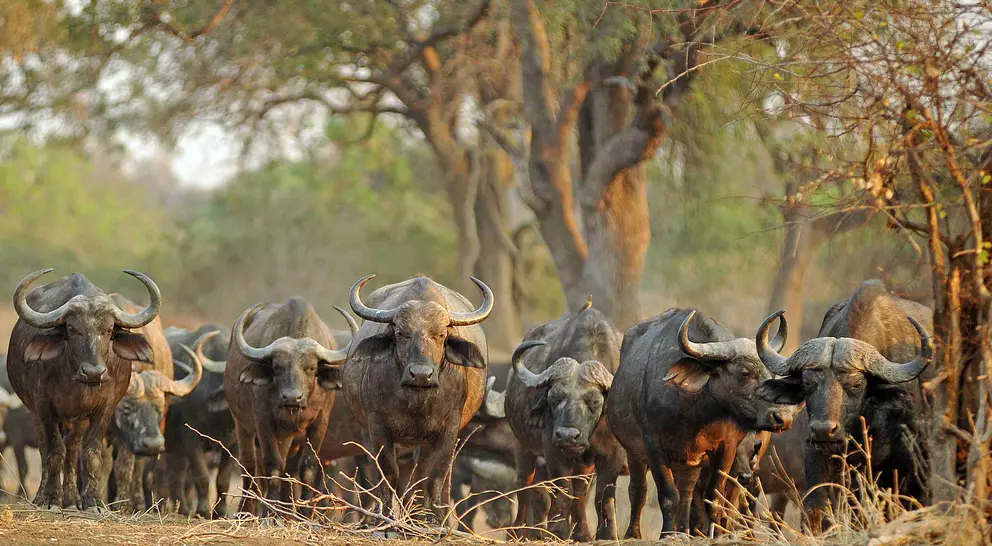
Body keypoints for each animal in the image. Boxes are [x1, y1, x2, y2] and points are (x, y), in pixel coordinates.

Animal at [225, 297, 357, 515]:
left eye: (311, 368)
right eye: (277, 367)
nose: (292, 398)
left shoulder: (321, 422)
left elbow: (308, 467)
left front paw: (305, 512)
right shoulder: (263, 421)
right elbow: (272, 466)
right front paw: (269, 513)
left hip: (291, 438)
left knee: (288, 470)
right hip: (242, 425)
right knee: (250, 466)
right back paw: (248, 511)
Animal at [343, 275, 493, 525]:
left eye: (441, 335)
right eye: (401, 333)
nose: (421, 374)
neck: (417, 400)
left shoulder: (448, 430)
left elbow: (434, 476)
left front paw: (433, 520)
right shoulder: (378, 426)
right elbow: (388, 472)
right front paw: (385, 517)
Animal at [504, 300, 624, 540]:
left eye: (594, 401)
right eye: (553, 397)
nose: (568, 435)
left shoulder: (612, 453)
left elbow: (602, 495)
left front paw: (604, 534)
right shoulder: (552, 449)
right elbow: (562, 488)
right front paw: (558, 530)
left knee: (580, 491)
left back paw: (581, 531)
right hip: (522, 446)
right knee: (524, 485)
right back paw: (519, 531)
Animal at [606, 308, 795, 536]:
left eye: (771, 374)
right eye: (745, 372)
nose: (783, 418)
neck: (695, 413)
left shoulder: (726, 449)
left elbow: (713, 499)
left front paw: (714, 534)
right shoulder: (653, 445)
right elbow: (668, 496)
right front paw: (667, 535)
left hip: (690, 464)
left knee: (687, 493)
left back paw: (685, 531)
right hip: (634, 452)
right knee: (639, 490)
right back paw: (635, 533)